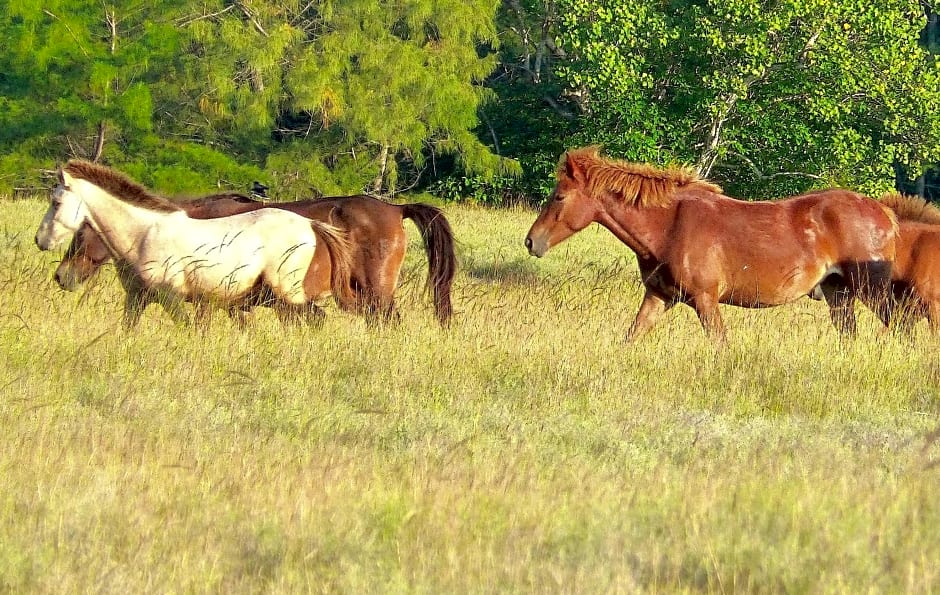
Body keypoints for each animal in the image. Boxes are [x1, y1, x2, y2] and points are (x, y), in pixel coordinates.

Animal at [35, 161, 354, 328]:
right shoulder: (137, 299)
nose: (40, 240)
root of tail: (311, 225)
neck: (144, 235)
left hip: (288, 295)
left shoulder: (172, 298)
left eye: (56, 202)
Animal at [524, 147, 900, 342]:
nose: (531, 241)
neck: (669, 226)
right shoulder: (659, 296)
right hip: (839, 294)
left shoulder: (706, 300)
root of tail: (885, 213)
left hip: (872, 291)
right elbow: (632, 335)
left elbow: (720, 345)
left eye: (559, 196)